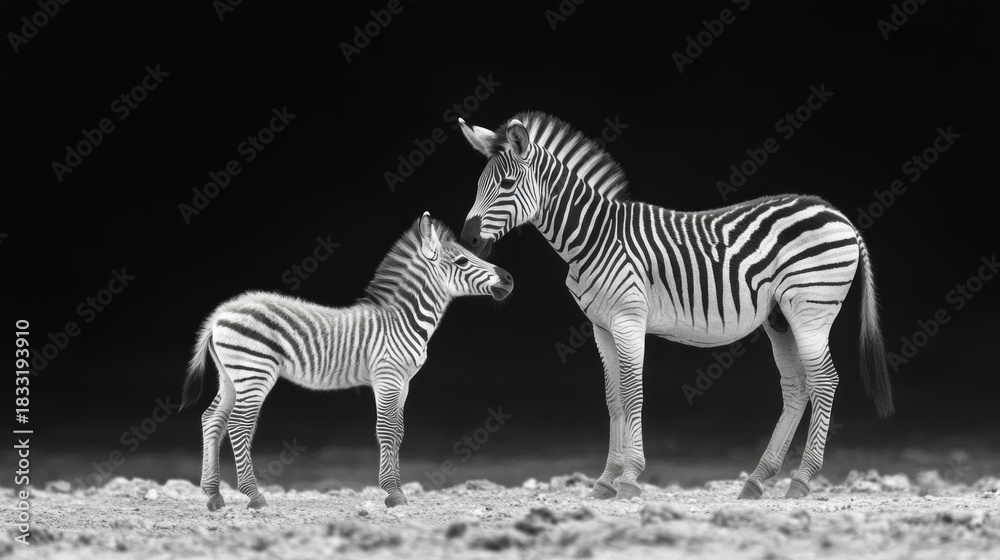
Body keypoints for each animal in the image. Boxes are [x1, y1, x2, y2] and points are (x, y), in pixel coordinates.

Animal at [180, 212, 514, 510]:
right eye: (462, 262)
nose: (509, 279)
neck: (403, 320)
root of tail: (221, 313)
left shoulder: (404, 382)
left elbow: (399, 431)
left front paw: (396, 489)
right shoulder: (387, 377)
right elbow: (387, 429)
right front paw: (393, 493)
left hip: (231, 375)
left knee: (212, 419)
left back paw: (214, 496)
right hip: (254, 371)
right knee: (239, 424)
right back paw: (254, 495)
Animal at [457, 111, 892, 500]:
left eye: (507, 183)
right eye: (477, 183)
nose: (468, 241)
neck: (595, 239)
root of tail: (837, 214)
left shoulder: (628, 320)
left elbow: (632, 392)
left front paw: (630, 479)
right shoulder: (601, 327)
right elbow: (613, 398)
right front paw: (605, 480)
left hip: (810, 309)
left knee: (824, 381)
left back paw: (801, 480)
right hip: (779, 318)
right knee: (797, 386)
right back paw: (757, 480)